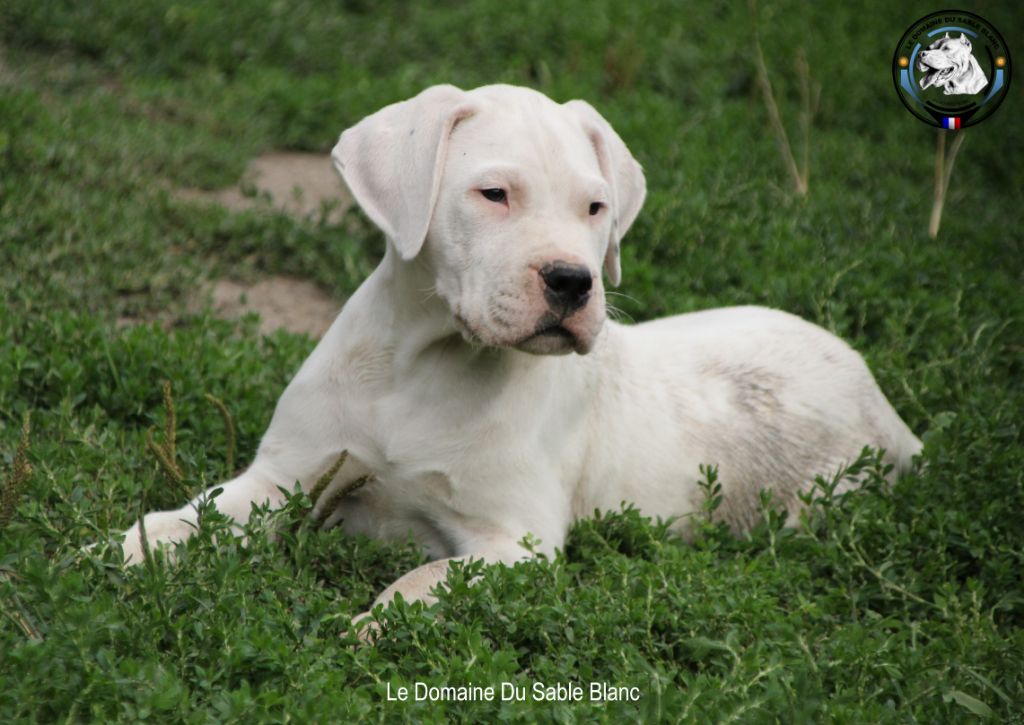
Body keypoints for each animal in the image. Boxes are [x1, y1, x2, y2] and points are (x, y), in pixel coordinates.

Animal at [116, 84, 925, 618]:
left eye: (596, 208)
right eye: (494, 195)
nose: (573, 281)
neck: (425, 366)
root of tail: (886, 407)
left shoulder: (516, 544)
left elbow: (423, 580)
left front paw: (374, 625)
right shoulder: (283, 473)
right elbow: (195, 515)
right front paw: (127, 552)